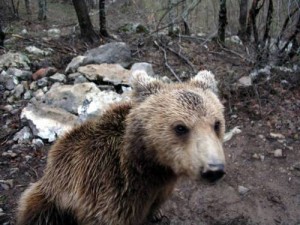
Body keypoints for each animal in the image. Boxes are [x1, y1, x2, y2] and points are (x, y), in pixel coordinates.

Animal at [15, 70, 225, 225]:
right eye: (180, 127)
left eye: (217, 124)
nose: (214, 169)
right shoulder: (108, 193)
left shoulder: (158, 189)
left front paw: (157, 214)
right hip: (52, 196)